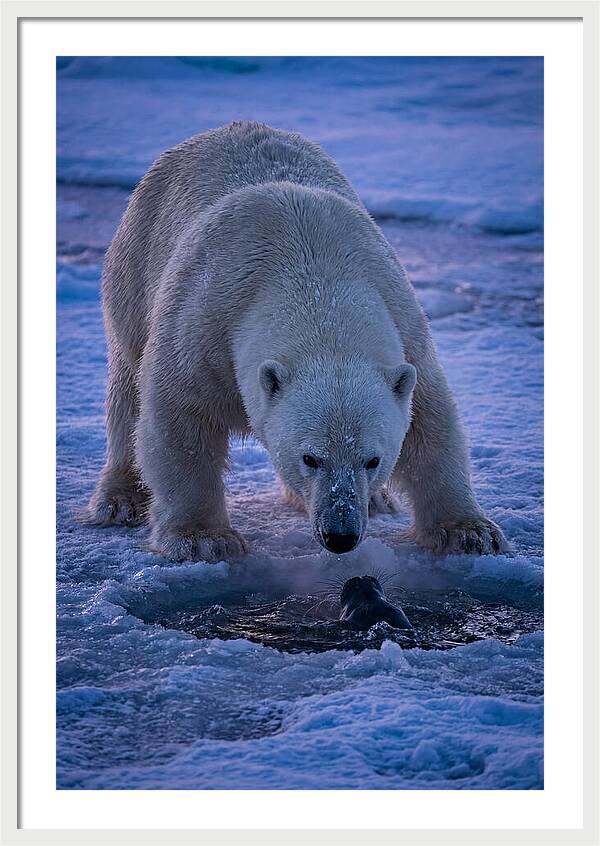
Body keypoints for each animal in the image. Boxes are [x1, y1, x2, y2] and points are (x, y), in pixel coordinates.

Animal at [84, 121, 508, 562]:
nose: (341, 535)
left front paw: (470, 532)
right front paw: (203, 539)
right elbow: (180, 419)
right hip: (135, 267)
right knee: (127, 388)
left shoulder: (404, 325)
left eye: (372, 459)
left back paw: (377, 500)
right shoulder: (204, 322)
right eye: (310, 458)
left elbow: (430, 421)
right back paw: (120, 499)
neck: (313, 273)